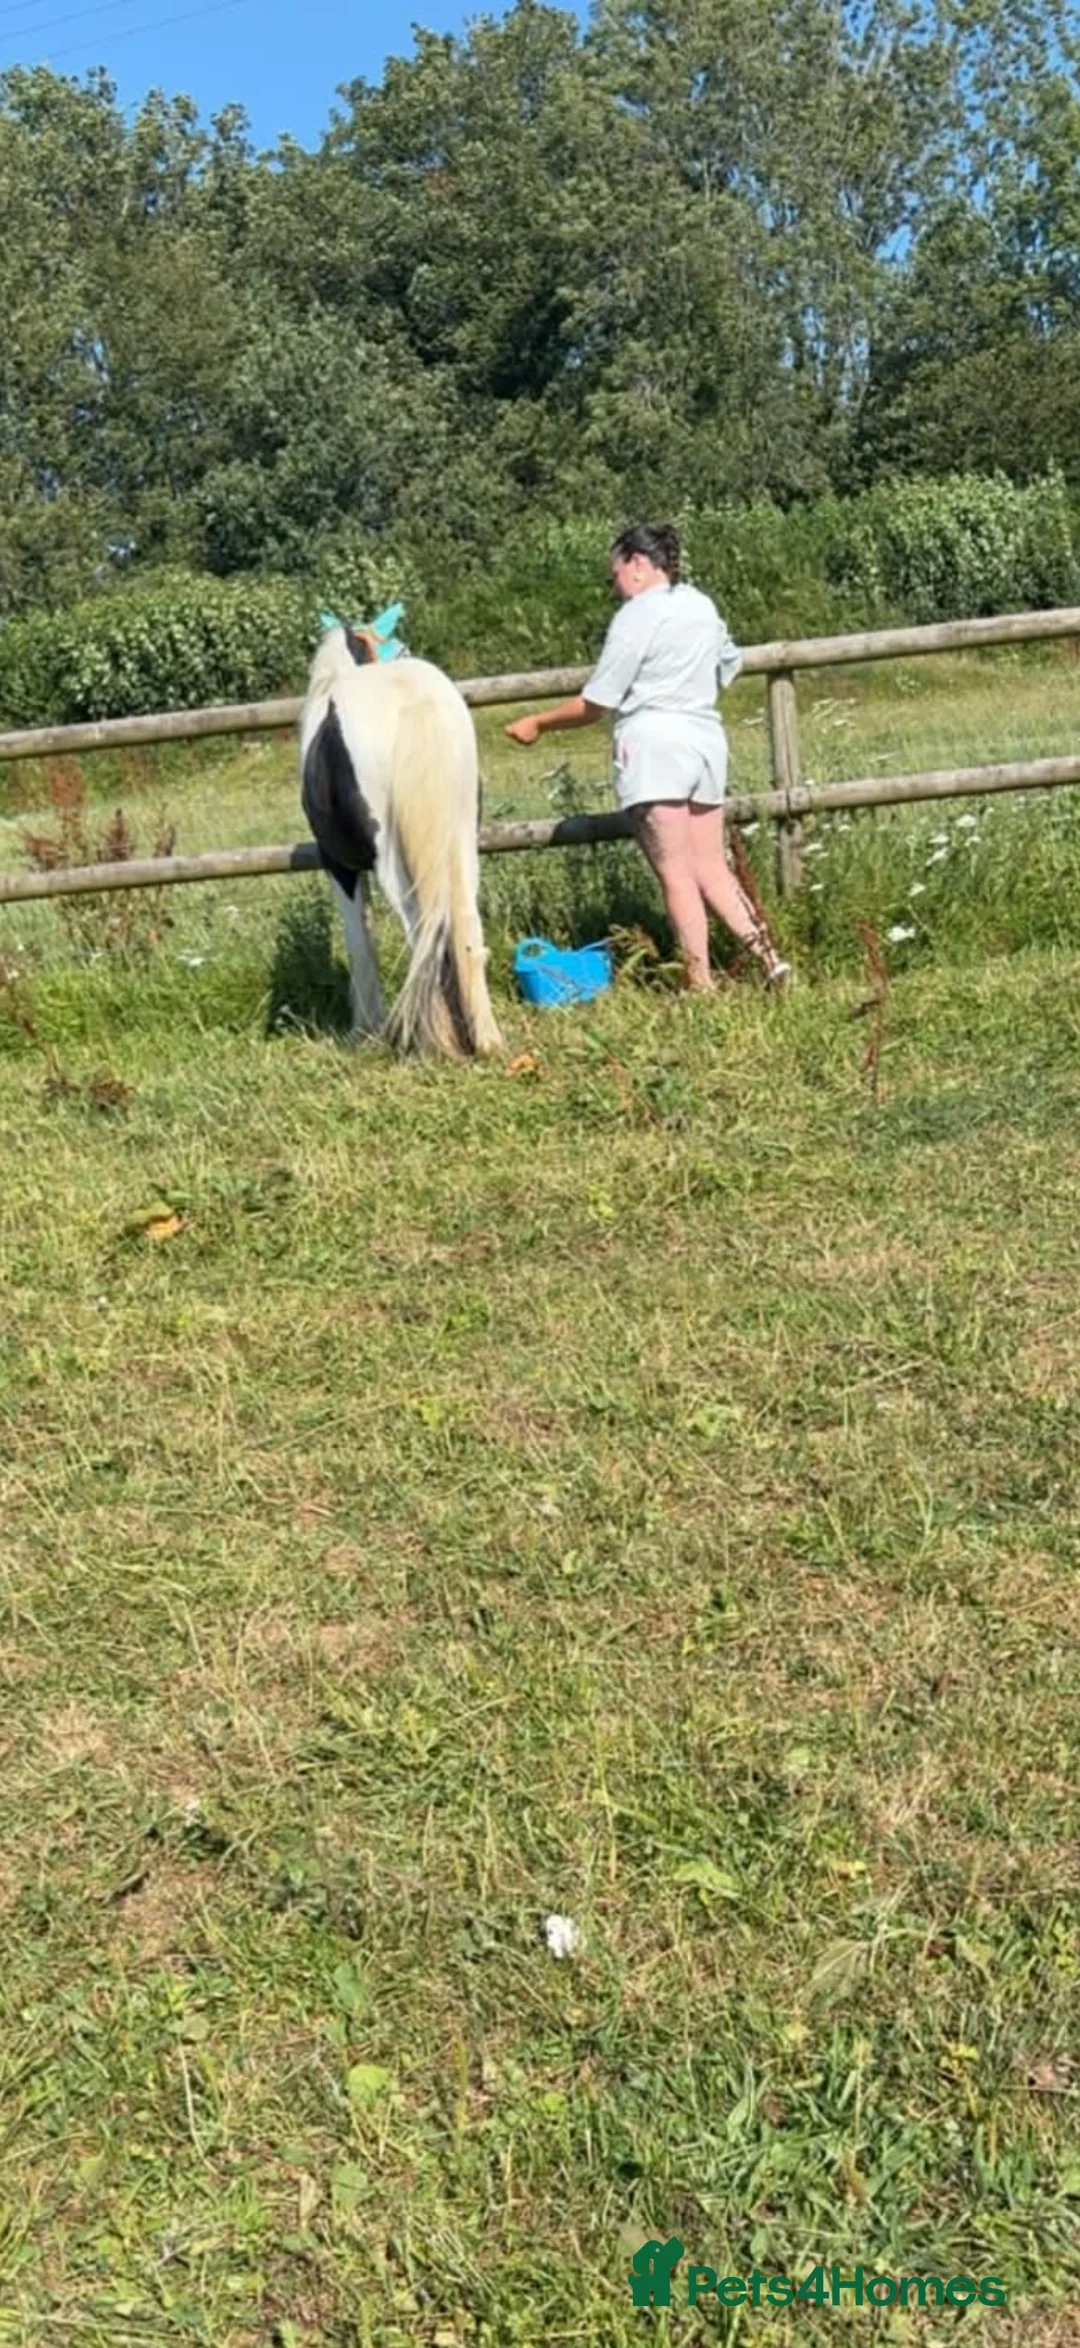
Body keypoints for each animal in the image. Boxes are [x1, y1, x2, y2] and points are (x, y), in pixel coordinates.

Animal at [299, 624, 504, 1059]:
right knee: (464, 922)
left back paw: (435, 1040)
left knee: (420, 927)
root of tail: (413, 701)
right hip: (462, 841)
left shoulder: (339, 865)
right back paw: (484, 1039)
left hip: (391, 859)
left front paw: (365, 1029)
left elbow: (359, 940)